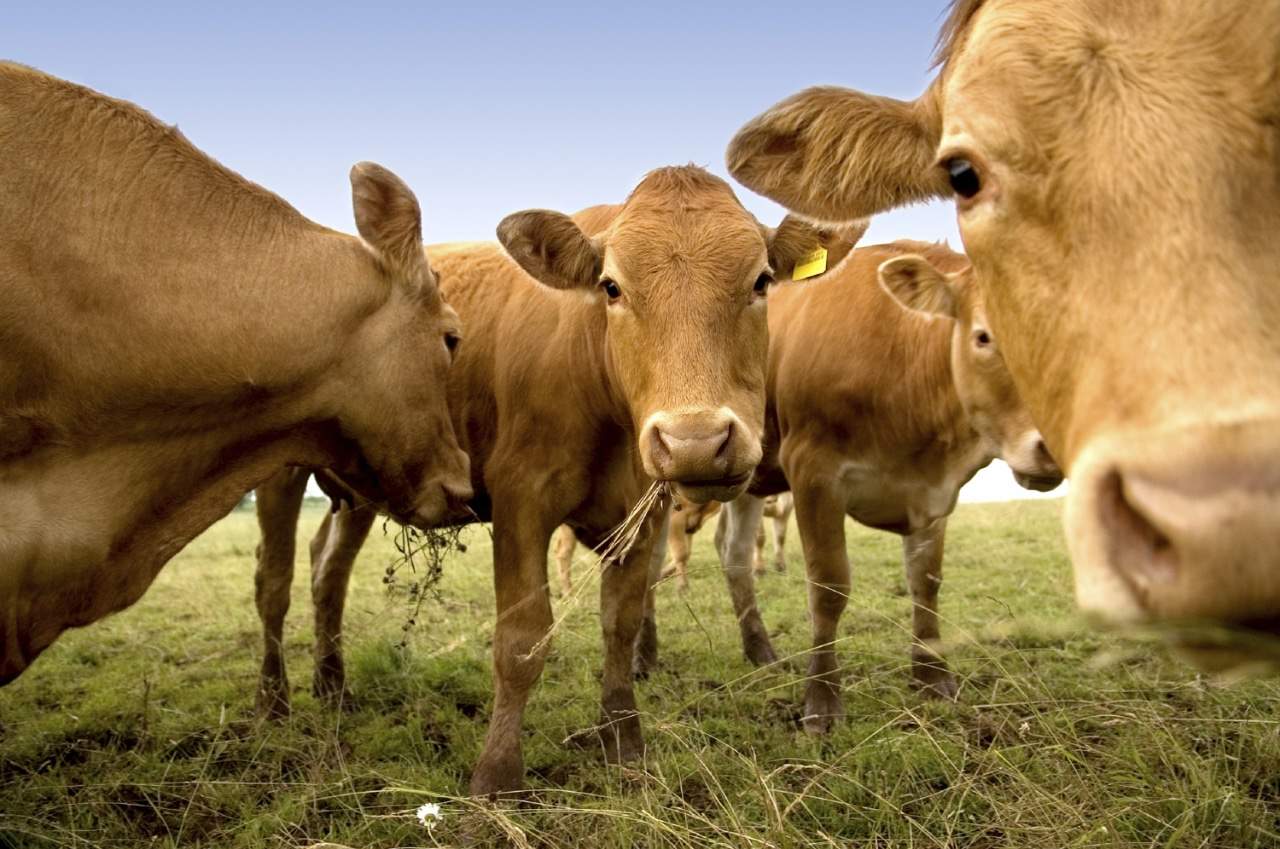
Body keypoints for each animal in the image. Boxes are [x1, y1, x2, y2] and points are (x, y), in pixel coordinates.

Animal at [250, 166, 862, 795]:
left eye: (762, 280)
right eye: (612, 287)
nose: (695, 441)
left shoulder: (643, 515)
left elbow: (621, 622)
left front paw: (623, 742)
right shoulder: (522, 499)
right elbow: (521, 638)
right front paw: (497, 774)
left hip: (362, 488)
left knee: (329, 571)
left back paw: (332, 685)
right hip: (279, 469)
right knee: (274, 582)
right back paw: (275, 702)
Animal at [684, 242, 1063, 732]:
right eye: (983, 337)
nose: (1053, 445)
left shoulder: (934, 491)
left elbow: (925, 581)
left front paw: (932, 676)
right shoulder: (813, 471)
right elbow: (829, 587)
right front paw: (822, 700)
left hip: (746, 479)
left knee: (734, 553)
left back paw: (760, 649)